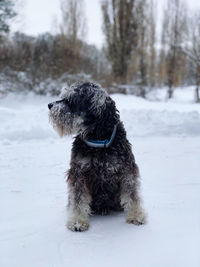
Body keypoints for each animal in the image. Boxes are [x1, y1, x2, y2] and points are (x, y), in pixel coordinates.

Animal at [47, 82, 146, 232]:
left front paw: (136, 215)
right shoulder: (78, 172)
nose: (49, 105)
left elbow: (132, 195)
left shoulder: (126, 170)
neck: (98, 140)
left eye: (71, 100)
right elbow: (78, 199)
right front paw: (77, 222)